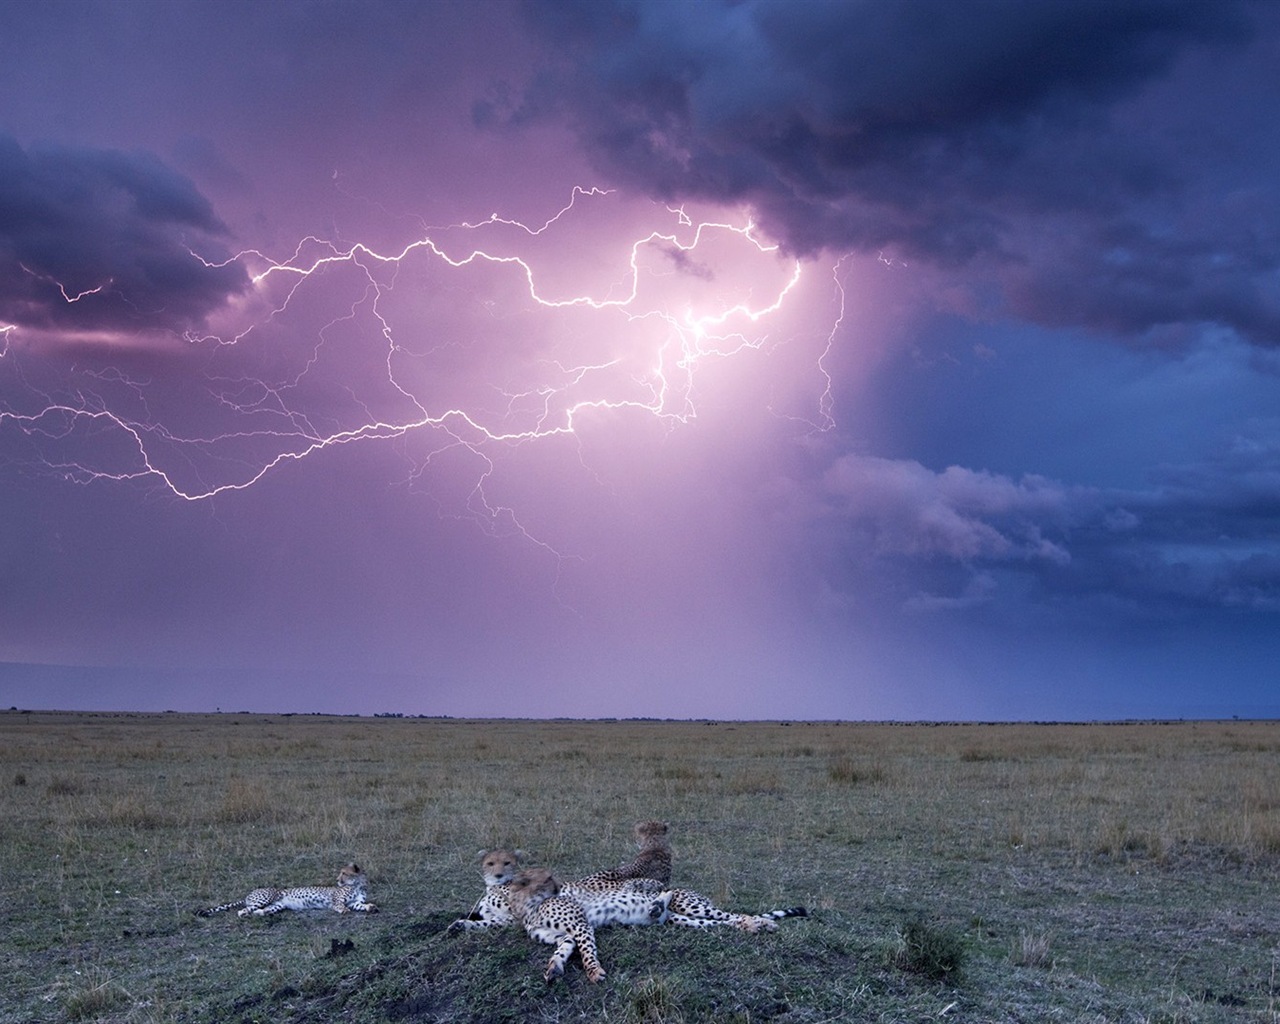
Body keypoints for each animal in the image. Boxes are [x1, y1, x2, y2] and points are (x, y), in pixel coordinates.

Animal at [192, 860, 373, 916]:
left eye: (344, 873)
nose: (337, 880)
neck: (357, 884)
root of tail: (249, 894)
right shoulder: (336, 900)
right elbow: (340, 905)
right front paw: (343, 910)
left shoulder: (354, 902)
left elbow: (360, 905)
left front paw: (370, 907)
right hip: (267, 897)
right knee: (242, 910)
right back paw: (245, 914)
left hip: (277, 905)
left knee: (261, 911)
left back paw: (262, 914)